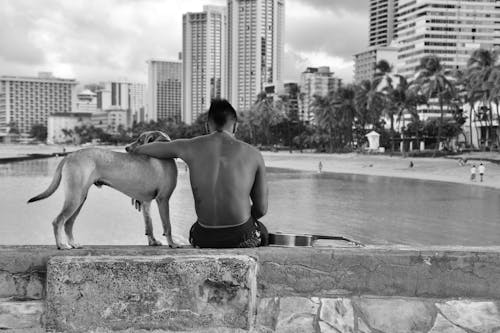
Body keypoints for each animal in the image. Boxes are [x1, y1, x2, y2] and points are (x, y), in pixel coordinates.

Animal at [27, 131, 178, 248]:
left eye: (140, 140)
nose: (126, 147)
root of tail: (70, 155)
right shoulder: (163, 199)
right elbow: (168, 225)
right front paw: (172, 243)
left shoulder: (146, 202)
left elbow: (149, 225)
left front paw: (153, 242)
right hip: (75, 197)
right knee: (58, 221)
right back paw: (61, 245)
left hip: (80, 198)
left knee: (68, 223)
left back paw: (73, 244)